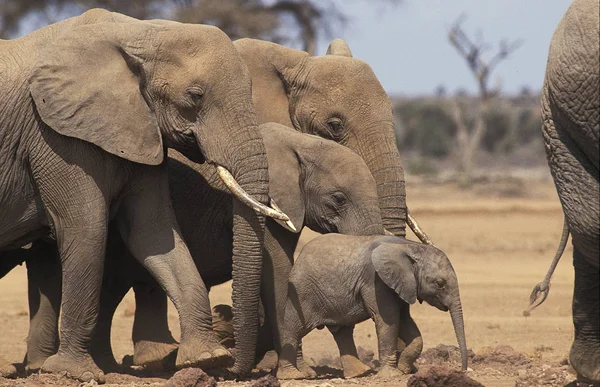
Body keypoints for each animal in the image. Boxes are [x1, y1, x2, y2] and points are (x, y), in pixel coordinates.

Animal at [0, 9, 288, 382]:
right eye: (195, 96)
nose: (235, 369)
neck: (139, 32)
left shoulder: (141, 129)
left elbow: (154, 232)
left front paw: (207, 358)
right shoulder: (53, 134)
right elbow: (87, 229)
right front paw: (75, 373)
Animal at [276, 235, 468, 380]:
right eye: (440, 283)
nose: (462, 370)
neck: (409, 246)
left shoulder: (402, 285)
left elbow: (406, 322)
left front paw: (405, 369)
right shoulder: (376, 282)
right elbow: (389, 321)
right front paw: (392, 375)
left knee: (342, 331)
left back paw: (359, 373)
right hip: (301, 292)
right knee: (293, 329)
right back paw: (293, 376)